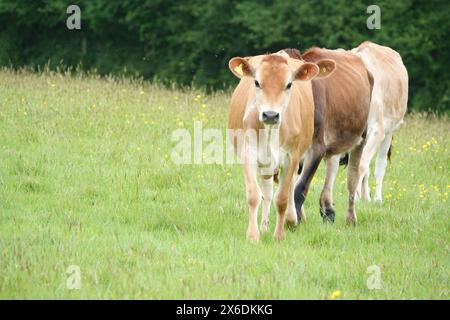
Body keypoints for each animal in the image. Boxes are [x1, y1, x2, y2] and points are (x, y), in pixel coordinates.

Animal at [229, 52, 334, 241]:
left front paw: (279, 234)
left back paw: (291, 219)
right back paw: (264, 226)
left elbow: (283, 198)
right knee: (267, 191)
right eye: (257, 82)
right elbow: (254, 195)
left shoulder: (291, 156)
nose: (270, 114)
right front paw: (253, 235)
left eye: (289, 84)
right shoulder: (249, 153)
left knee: (290, 186)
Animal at [284, 47, 374, 225]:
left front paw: (296, 221)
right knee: (332, 166)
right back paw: (328, 209)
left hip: (361, 137)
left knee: (352, 178)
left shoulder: (317, 147)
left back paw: (351, 219)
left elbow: (300, 187)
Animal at [352, 40, 408, 202]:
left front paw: (356, 197)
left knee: (380, 165)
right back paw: (366, 196)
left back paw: (377, 198)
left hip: (389, 131)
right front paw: (360, 196)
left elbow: (364, 165)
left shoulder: (377, 130)